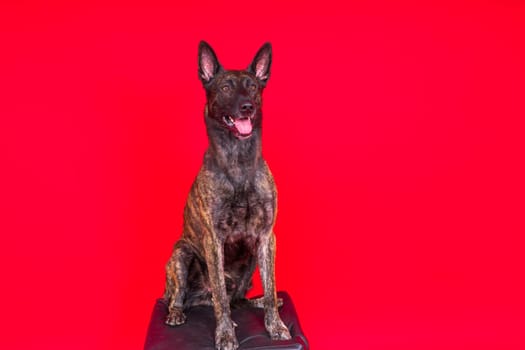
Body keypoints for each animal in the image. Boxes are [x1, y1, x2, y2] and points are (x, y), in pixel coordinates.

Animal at [164, 41, 290, 350]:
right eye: (224, 88)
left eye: (253, 87)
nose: (247, 107)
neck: (239, 160)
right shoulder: (213, 240)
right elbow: (220, 295)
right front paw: (224, 335)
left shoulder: (267, 237)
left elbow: (271, 287)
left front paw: (275, 325)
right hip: (180, 254)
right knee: (187, 296)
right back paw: (176, 312)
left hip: (252, 258)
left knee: (238, 299)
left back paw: (256, 302)